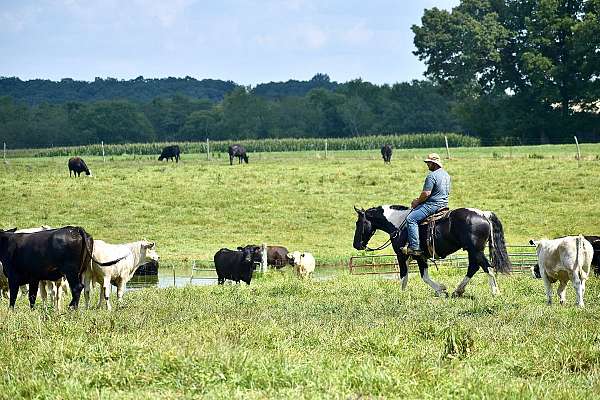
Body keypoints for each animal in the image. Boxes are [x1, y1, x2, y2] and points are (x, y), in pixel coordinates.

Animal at [354, 206, 512, 296]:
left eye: (358, 222)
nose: (356, 244)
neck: (399, 224)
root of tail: (483, 214)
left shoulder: (403, 255)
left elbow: (406, 275)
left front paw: (402, 294)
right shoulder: (420, 257)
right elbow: (423, 275)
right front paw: (441, 290)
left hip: (476, 250)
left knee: (487, 267)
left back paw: (495, 292)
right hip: (472, 250)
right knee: (473, 267)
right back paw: (457, 291)